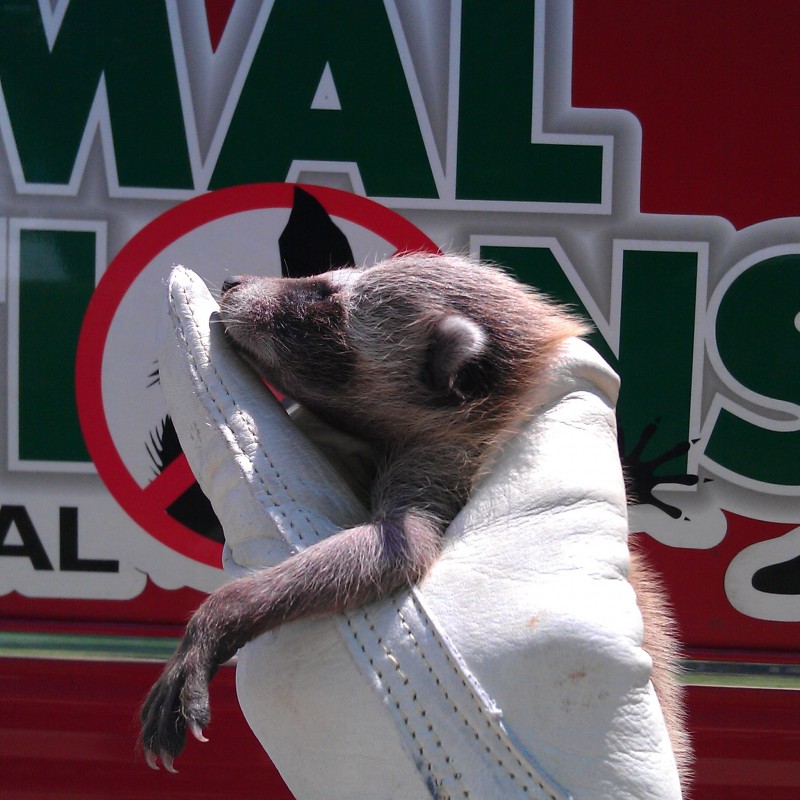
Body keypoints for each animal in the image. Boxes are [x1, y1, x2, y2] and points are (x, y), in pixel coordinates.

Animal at [141, 253, 688, 785]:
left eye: (324, 297)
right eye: (324, 282)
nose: (233, 281)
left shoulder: (441, 469)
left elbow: (399, 554)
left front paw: (221, 613)